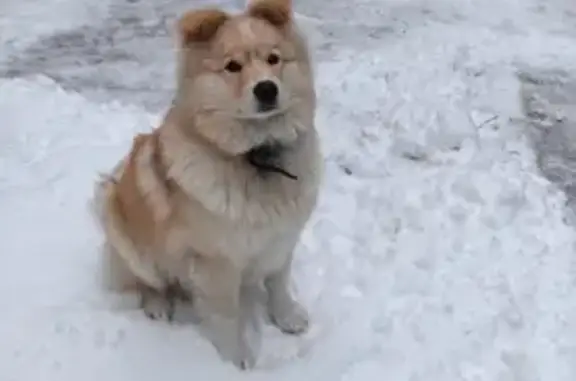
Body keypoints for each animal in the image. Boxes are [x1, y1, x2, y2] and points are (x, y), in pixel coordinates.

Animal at [92, 0, 322, 370]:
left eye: (273, 59)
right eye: (233, 66)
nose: (267, 88)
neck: (257, 154)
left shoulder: (281, 238)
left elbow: (279, 283)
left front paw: (287, 317)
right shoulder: (216, 262)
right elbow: (227, 317)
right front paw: (237, 359)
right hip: (118, 223)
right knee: (148, 283)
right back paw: (158, 306)